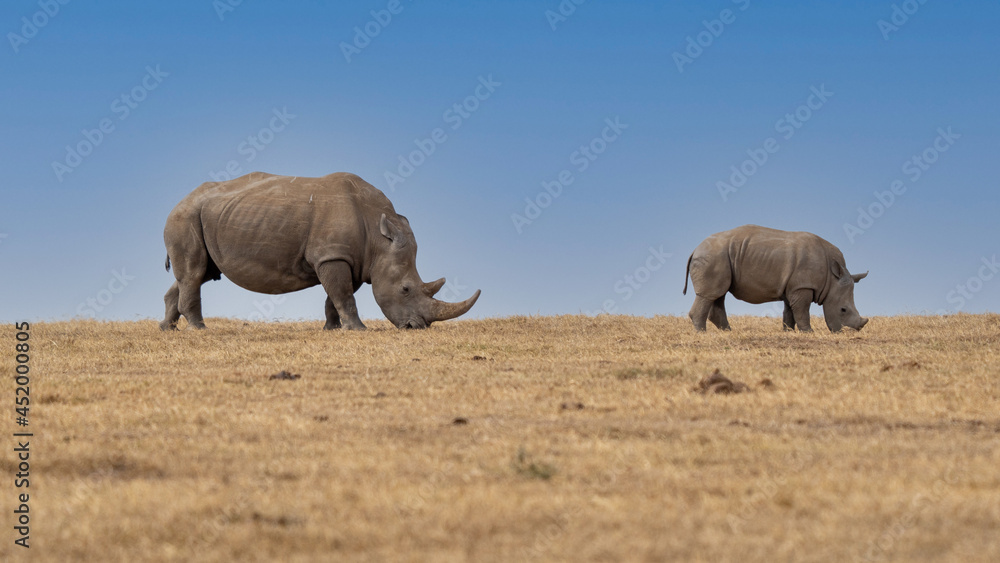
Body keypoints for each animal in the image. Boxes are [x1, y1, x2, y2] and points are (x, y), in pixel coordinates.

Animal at [160, 172, 480, 330]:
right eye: (405, 289)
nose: (417, 327)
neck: (378, 236)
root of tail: (180, 200)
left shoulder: (348, 258)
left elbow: (335, 296)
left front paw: (333, 329)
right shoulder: (333, 255)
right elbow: (344, 295)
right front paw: (358, 330)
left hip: (202, 216)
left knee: (197, 274)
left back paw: (168, 328)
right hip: (184, 218)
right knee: (194, 272)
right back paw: (200, 329)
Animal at [683, 225, 868, 332]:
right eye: (843, 310)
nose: (855, 331)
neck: (831, 279)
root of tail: (695, 249)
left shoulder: (793, 286)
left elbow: (790, 310)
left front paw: (789, 331)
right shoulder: (803, 286)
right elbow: (802, 310)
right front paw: (808, 332)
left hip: (718, 257)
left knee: (719, 293)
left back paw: (728, 331)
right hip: (712, 256)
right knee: (711, 294)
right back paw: (702, 332)